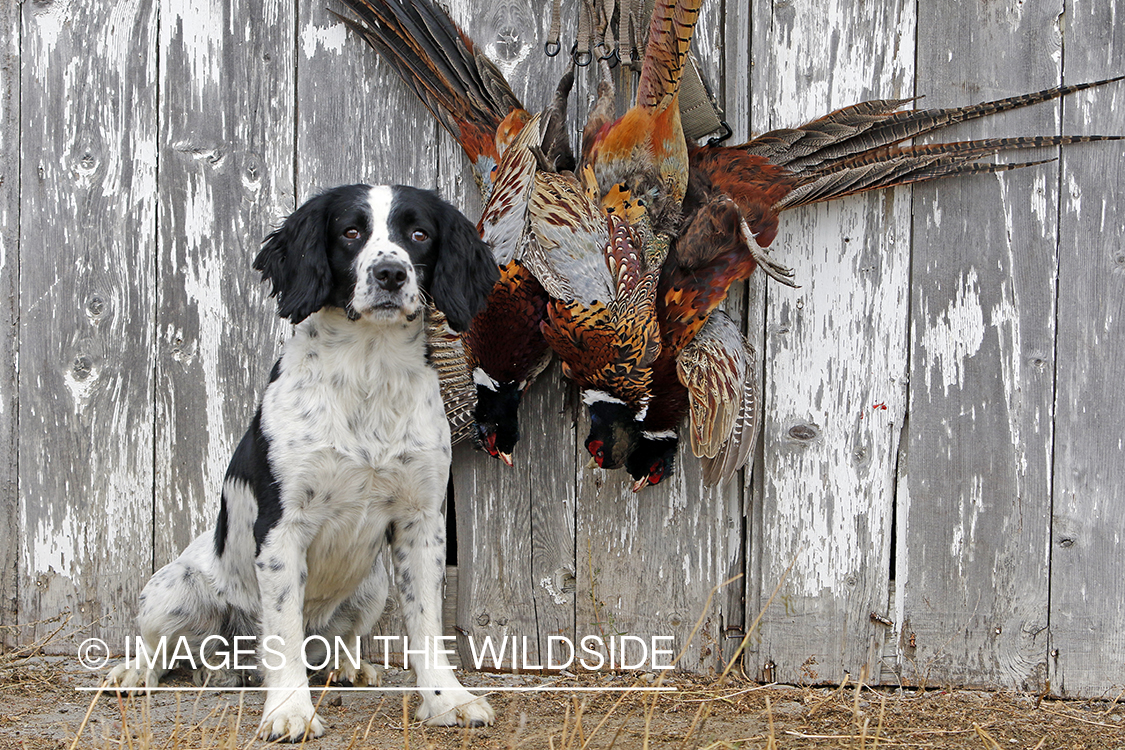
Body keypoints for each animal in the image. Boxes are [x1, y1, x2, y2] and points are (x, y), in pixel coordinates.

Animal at [108, 186, 501, 737]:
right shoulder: (282, 527)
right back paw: (137, 671)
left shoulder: (421, 521)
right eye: (350, 231)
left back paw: (352, 666)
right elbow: (284, 632)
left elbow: (426, 625)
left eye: (419, 233)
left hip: (373, 584)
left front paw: (448, 700)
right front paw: (289, 710)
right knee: (160, 648)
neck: (369, 370)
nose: (390, 273)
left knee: (339, 640)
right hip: (170, 588)